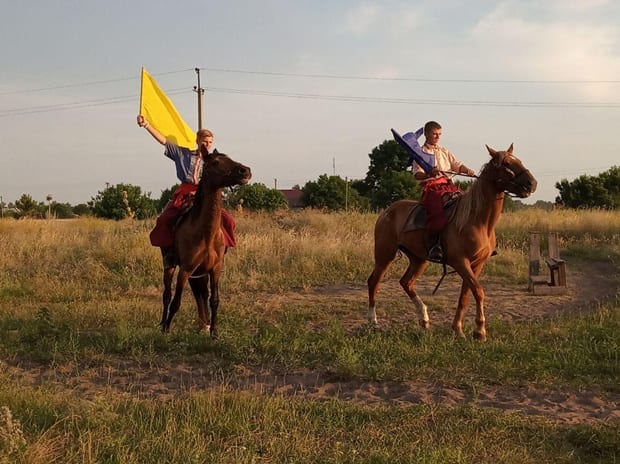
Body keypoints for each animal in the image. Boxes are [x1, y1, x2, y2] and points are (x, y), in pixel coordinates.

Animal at [160, 147, 252, 338]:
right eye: (215, 162)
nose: (245, 171)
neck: (205, 234)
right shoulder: (185, 269)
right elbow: (176, 301)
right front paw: (167, 329)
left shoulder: (215, 269)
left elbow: (214, 300)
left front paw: (214, 333)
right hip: (170, 265)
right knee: (167, 294)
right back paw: (164, 324)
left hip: (199, 273)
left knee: (200, 294)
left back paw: (204, 325)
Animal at [368, 144, 536, 340]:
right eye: (507, 164)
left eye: (519, 161)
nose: (532, 183)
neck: (477, 220)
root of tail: (386, 212)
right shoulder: (460, 262)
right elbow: (478, 291)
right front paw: (480, 331)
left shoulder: (477, 264)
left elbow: (466, 295)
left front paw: (459, 329)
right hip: (384, 255)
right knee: (374, 282)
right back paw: (373, 321)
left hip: (419, 259)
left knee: (406, 282)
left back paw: (424, 319)